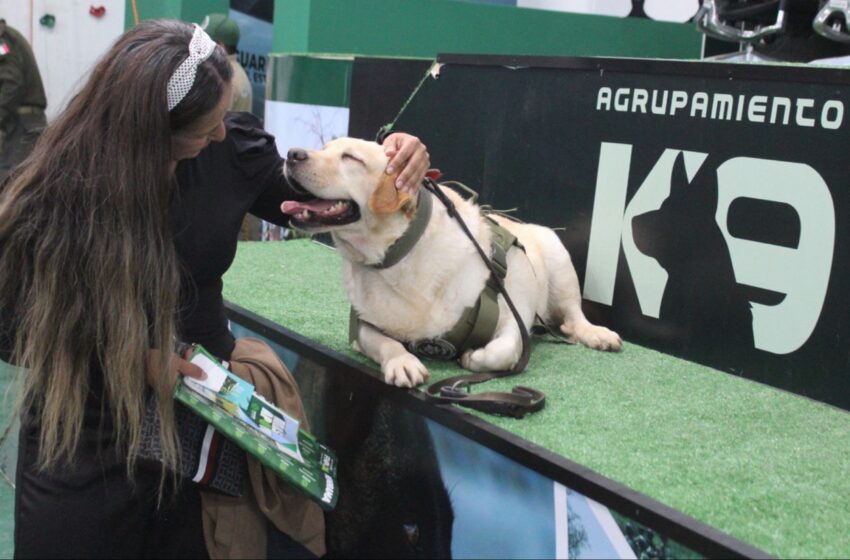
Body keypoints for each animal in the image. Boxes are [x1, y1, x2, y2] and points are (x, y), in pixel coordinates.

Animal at [282, 138, 620, 388]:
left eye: (351, 158)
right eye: (324, 147)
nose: (291, 154)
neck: (398, 257)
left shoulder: (514, 316)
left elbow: (503, 350)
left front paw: (472, 358)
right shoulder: (361, 327)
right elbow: (385, 343)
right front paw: (403, 363)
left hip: (559, 261)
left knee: (574, 316)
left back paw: (597, 334)